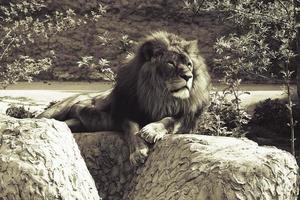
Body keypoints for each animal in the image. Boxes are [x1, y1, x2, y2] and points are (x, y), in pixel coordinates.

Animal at [37, 31, 211, 165]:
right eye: (171, 63)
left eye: (189, 64)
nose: (188, 76)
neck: (158, 95)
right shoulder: (126, 112)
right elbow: (132, 130)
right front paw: (138, 152)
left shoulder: (185, 118)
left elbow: (168, 120)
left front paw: (151, 130)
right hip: (57, 110)